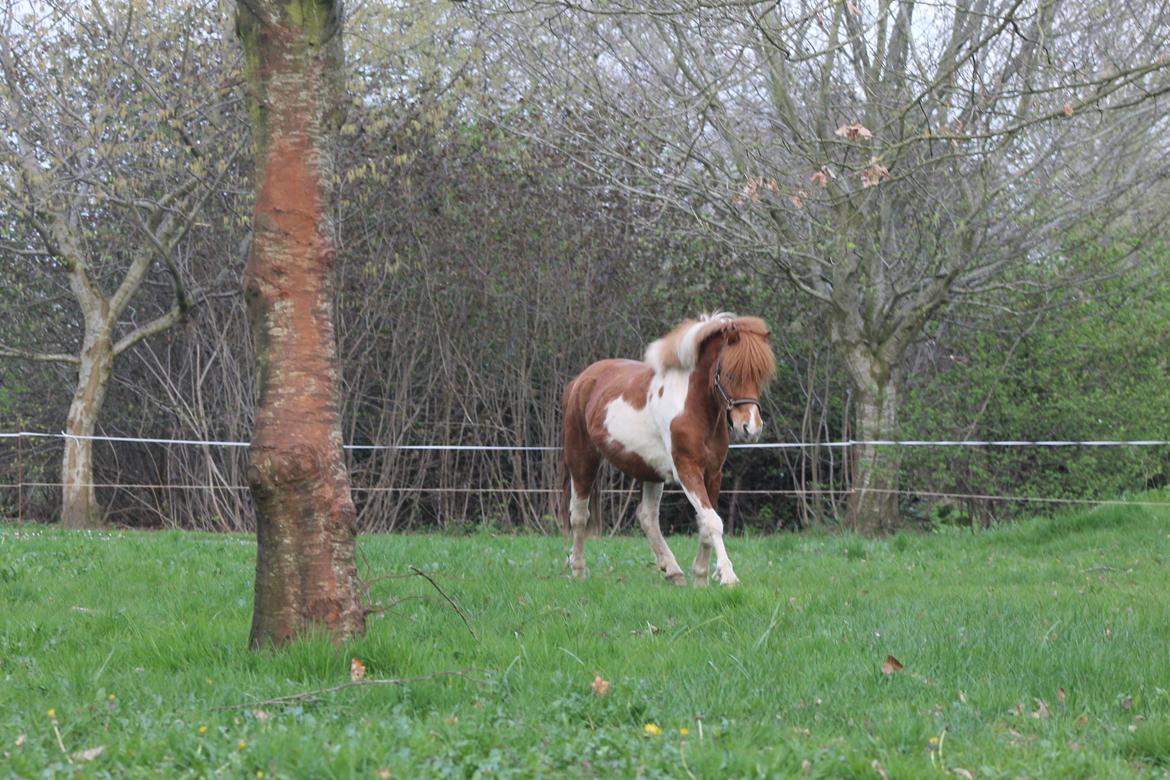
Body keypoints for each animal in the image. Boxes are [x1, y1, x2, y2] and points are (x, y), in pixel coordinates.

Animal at [559, 311, 776, 584]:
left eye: (760, 377)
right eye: (730, 374)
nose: (751, 428)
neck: (692, 407)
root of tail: (579, 381)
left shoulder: (712, 474)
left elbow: (705, 524)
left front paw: (701, 577)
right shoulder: (687, 470)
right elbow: (713, 521)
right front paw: (727, 576)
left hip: (650, 471)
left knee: (647, 517)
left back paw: (673, 570)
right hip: (582, 460)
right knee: (579, 514)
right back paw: (578, 570)